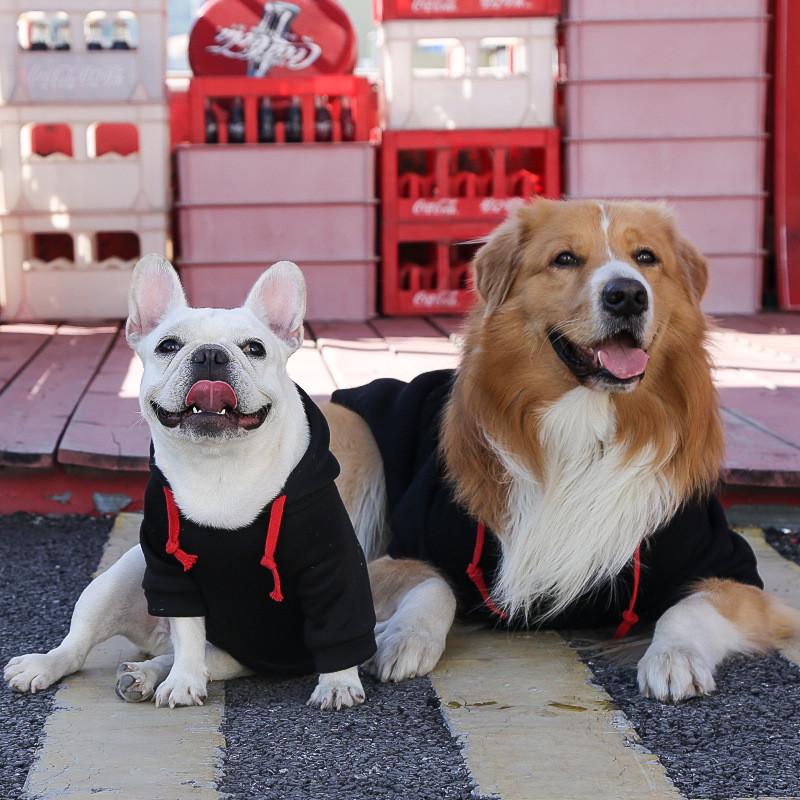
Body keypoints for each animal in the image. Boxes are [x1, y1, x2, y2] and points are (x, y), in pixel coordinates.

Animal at [324, 198, 800, 700]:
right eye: (565, 259)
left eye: (646, 257)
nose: (628, 295)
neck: (586, 426)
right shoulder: (396, 554)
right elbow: (436, 585)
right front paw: (406, 636)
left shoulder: (735, 574)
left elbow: (687, 609)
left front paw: (675, 656)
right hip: (351, 433)